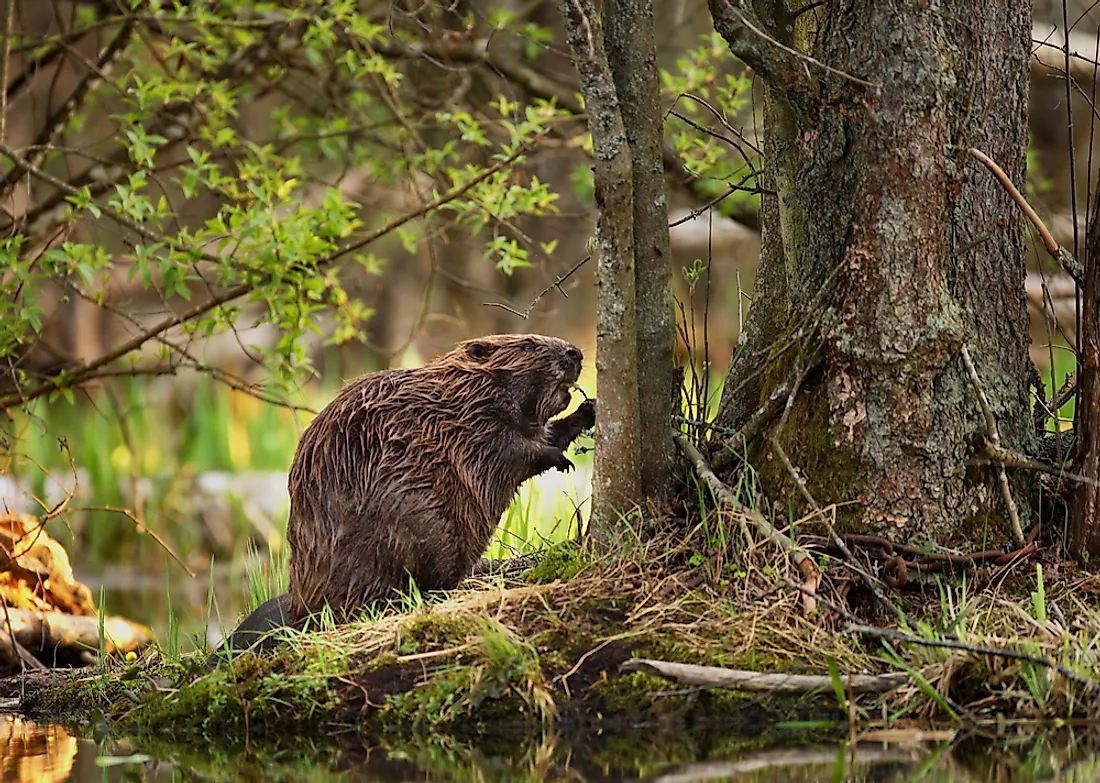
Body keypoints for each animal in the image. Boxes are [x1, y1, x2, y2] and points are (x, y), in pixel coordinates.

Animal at [221, 332, 594, 655]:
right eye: (529, 344)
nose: (576, 352)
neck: (462, 392)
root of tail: (298, 610)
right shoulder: (471, 425)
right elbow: (509, 451)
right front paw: (558, 457)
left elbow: (544, 432)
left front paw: (588, 410)